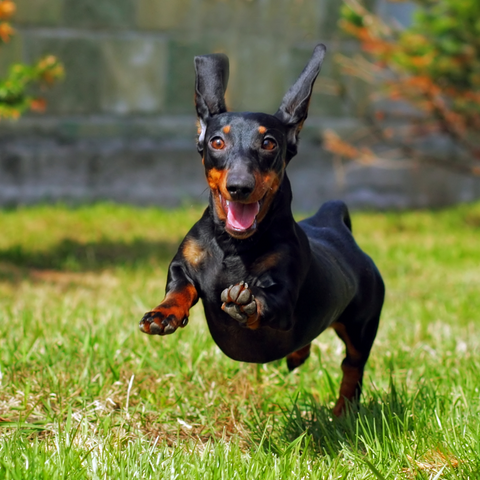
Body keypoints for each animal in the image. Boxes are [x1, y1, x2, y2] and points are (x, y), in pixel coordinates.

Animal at [138, 43, 382, 414]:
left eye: (269, 143)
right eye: (217, 143)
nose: (239, 187)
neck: (233, 246)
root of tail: (333, 223)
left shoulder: (284, 295)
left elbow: (270, 303)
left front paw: (246, 303)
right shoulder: (182, 265)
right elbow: (179, 287)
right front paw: (163, 314)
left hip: (361, 327)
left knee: (352, 367)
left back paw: (343, 413)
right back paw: (297, 356)